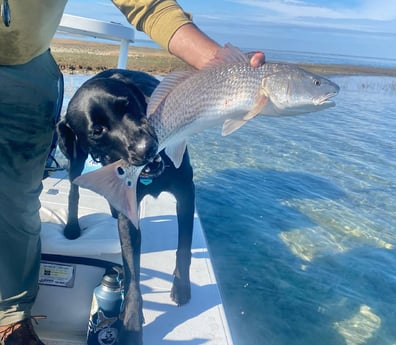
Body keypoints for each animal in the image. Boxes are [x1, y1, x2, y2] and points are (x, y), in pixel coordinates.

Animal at [56, 68, 196, 342]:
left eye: (127, 104)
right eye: (97, 131)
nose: (148, 147)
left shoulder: (187, 190)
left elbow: (184, 247)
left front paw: (181, 286)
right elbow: (131, 270)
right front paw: (131, 321)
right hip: (74, 157)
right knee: (74, 191)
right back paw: (72, 226)